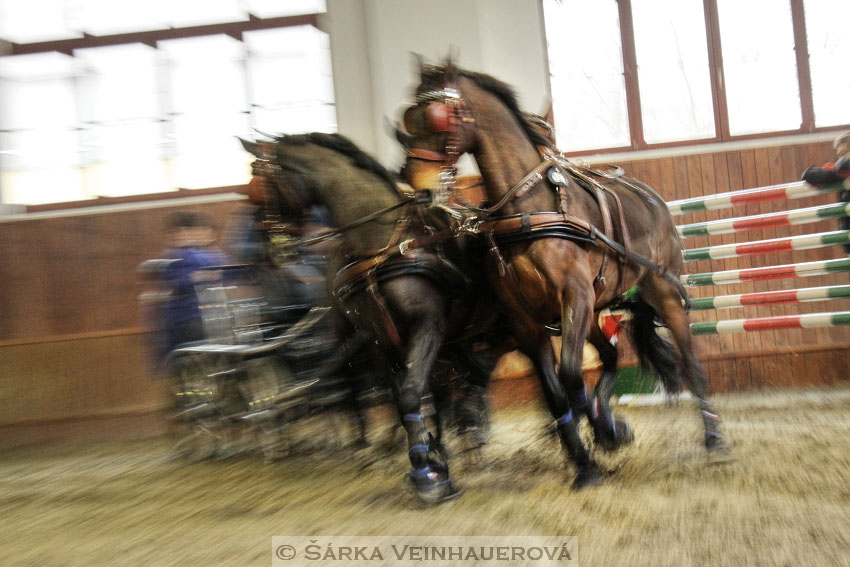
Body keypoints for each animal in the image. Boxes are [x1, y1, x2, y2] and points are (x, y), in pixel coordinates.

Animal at [398, 61, 728, 488]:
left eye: (438, 117)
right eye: (408, 117)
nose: (417, 192)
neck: (527, 207)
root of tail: (652, 197)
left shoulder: (575, 296)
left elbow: (571, 374)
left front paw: (600, 440)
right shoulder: (526, 320)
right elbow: (555, 391)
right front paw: (586, 459)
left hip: (659, 291)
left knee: (689, 359)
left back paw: (714, 437)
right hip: (594, 309)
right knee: (609, 355)